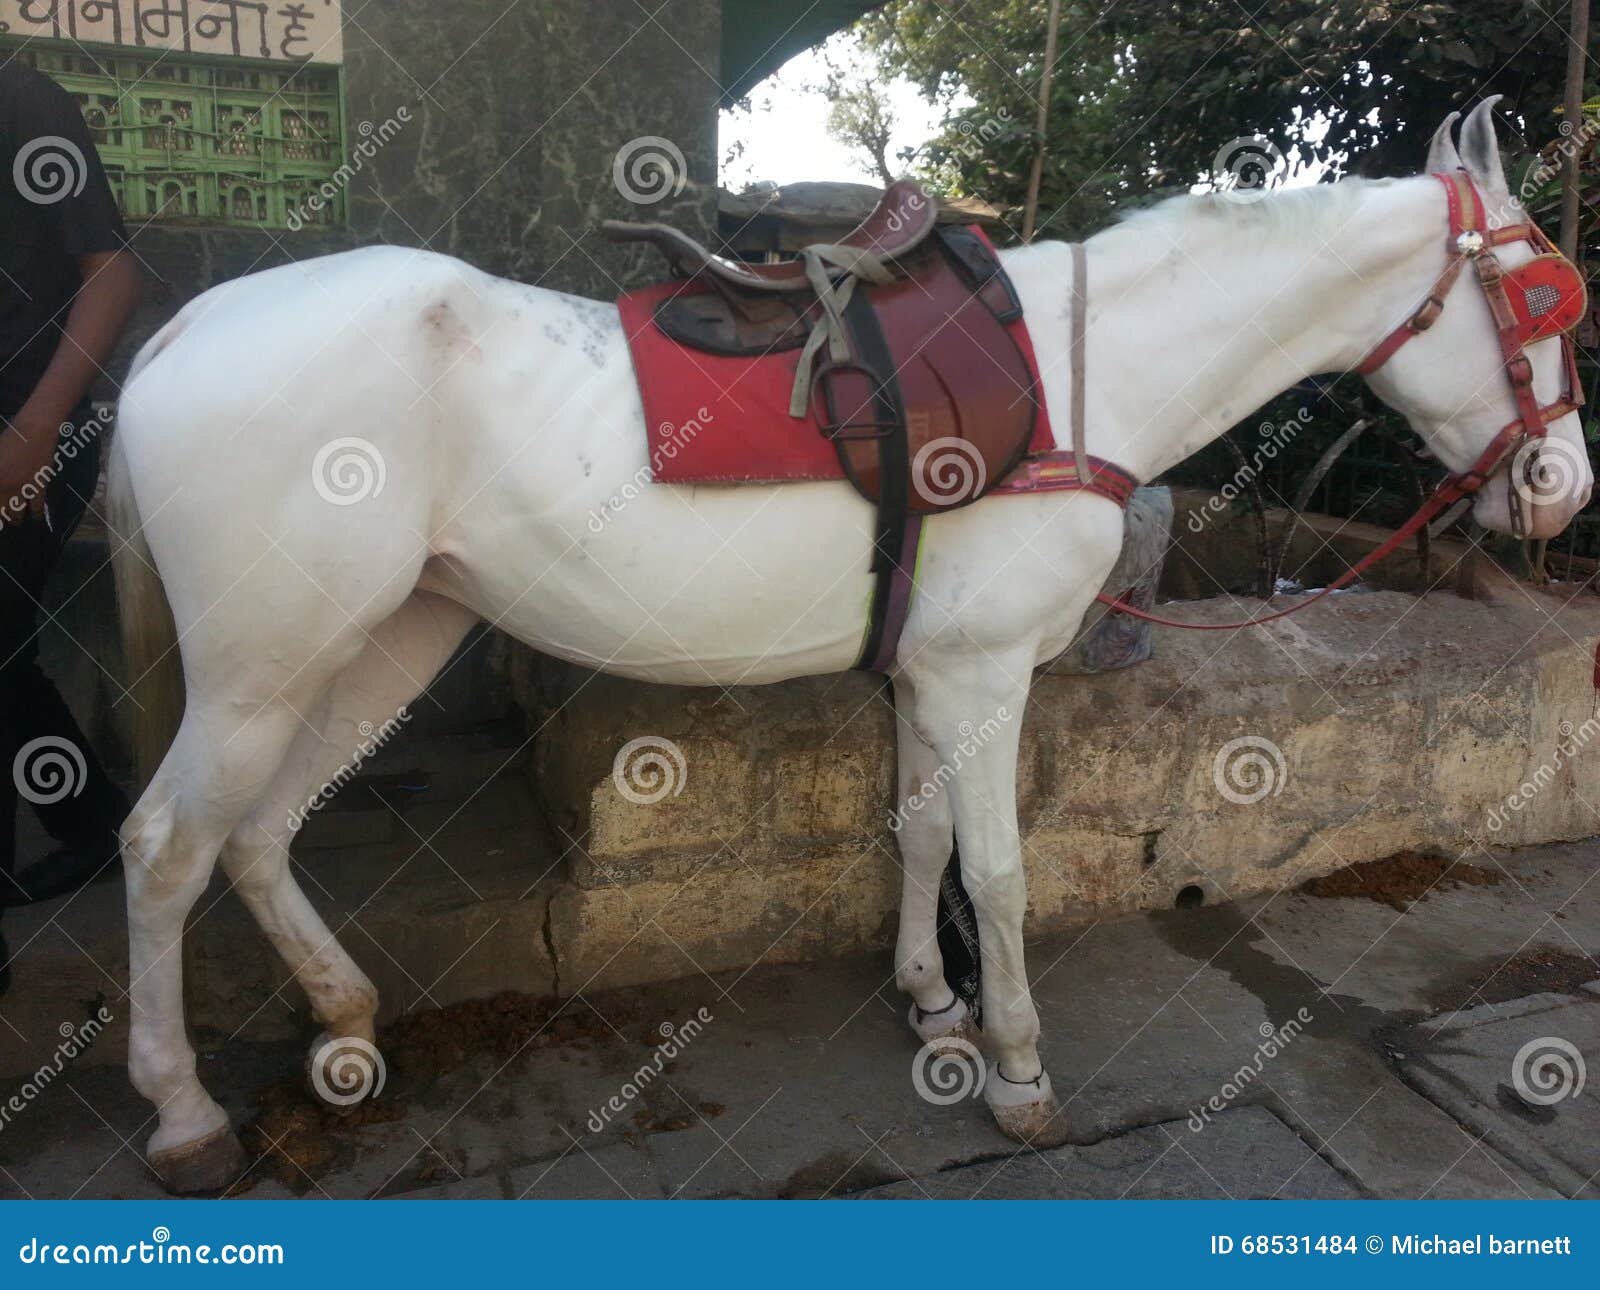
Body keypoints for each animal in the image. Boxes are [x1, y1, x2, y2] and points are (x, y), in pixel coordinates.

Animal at [106, 100, 1590, 1192]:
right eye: (1542, 295)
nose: (1564, 488)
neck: (1078, 375)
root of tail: (187, 324)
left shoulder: (934, 670)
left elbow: (921, 830)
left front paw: (931, 1003)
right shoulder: (987, 672)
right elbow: (998, 869)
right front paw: (1017, 1068)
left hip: (384, 635)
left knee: (261, 830)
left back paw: (343, 1017)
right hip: (264, 662)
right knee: (168, 845)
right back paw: (183, 1112)